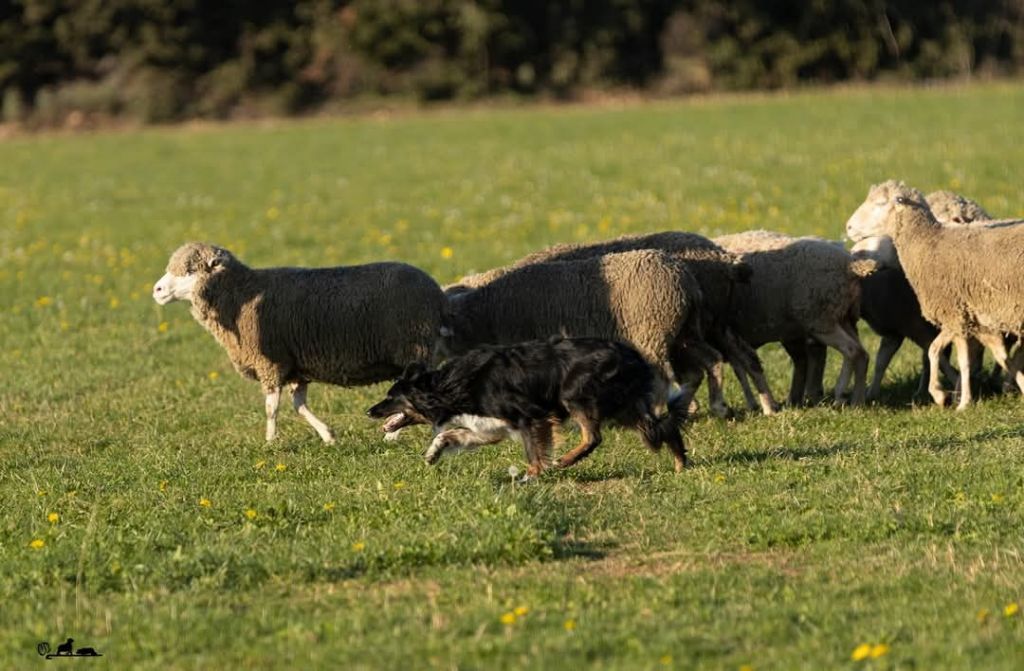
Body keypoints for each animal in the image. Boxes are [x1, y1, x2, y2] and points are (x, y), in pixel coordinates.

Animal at [149, 243, 446, 444]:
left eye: (190, 270)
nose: (157, 290)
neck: (240, 296)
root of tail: (436, 291)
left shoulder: (270, 363)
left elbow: (271, 408)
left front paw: (270, 441)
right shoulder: (294, 367)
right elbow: (298, 405)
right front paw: (328, 436)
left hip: (414, 349)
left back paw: (394, 437)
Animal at [368, 338, 688, 475]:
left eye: (390, 396)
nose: (368, 411)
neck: (452, 386)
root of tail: (632, 354)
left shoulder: (531, 417)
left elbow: (534, 453)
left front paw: (532, 476)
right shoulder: (487, 428)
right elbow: (449, 434)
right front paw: (433, 454)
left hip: (576, 395)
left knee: (593, 437)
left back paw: (567, 460)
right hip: (624, 406)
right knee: (664, 427)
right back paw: (681, 465)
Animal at [448, 233, 774, 417]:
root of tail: (725, 258)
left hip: (670, 332)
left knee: (689, 367)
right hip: (702, 327)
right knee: (733, 357)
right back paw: (754, 405)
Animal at [712, 231, 880, 407]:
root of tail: (851, 264)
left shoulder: (727, 333)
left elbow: (745, 367)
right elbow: (740, 369)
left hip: (819, 319)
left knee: (854, 352)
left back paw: (854, 401)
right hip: (843, 316)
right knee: (860, 353)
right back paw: (845, 396)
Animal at [843, 181, 1024, 409]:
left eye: (881, 203)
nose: (848, 227)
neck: (929, 242)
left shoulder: (952, 315)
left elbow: (938, 352)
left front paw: (944, 396)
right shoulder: (964, 319)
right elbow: (961, 358)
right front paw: (960, 398)